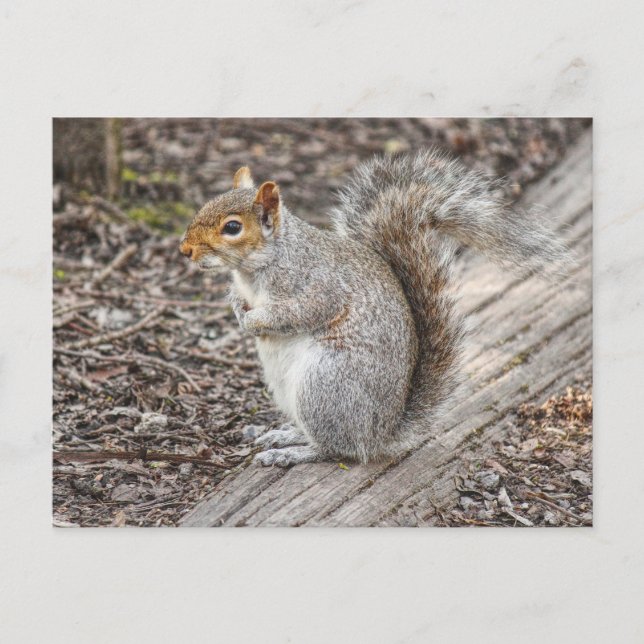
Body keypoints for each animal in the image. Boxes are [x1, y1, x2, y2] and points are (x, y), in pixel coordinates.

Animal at [180, 153, 570, 467]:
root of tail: (382, 433)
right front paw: (237, 309)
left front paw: (254, 320)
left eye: (232, 227)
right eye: (205, 205)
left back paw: (293, 453)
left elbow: (299, 313)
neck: (255, 269)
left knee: (340, 448)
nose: (185, 250)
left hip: (325, 386)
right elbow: (238, 299)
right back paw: (285, 434)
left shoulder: (317, 286)